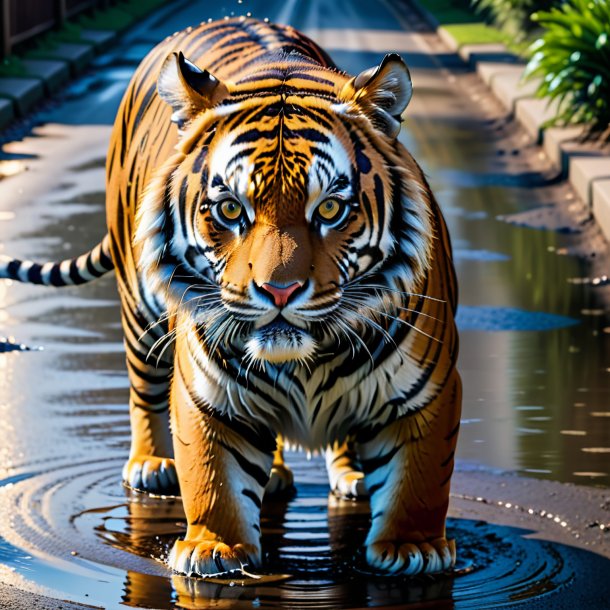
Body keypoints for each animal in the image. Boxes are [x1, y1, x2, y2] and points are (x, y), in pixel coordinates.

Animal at [0, 15, 458, 576]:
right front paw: (214, 549)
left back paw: (340, 475)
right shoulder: (207, 393)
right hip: (140, 312)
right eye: (230, 209)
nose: (279, 290)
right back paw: (151, 465)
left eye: (330, 209)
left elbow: (420, 478)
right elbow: (212, 475)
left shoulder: (428, 392)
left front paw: (412, 548)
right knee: (143, 390)